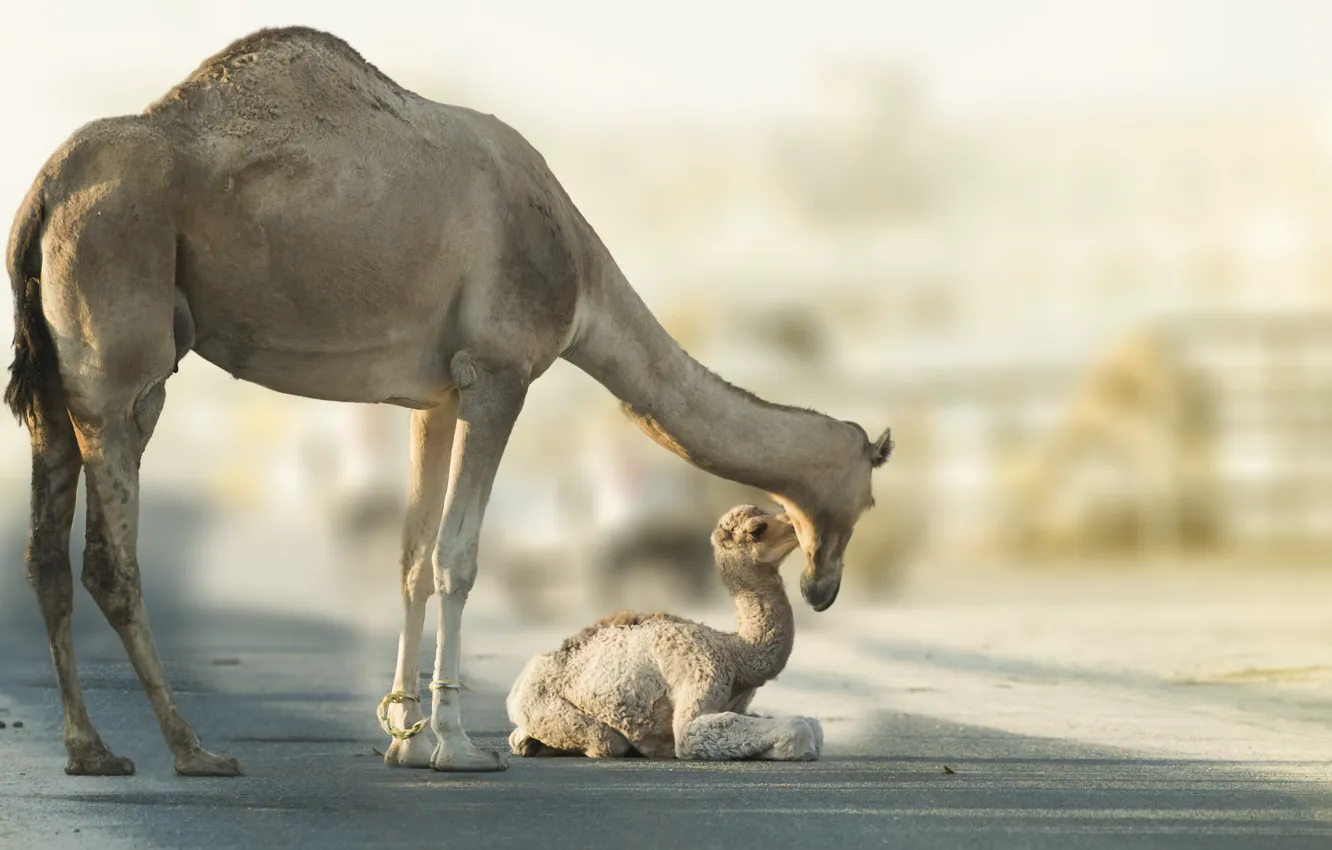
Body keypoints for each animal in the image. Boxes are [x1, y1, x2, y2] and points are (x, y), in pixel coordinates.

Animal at [507, 505, 822, 761]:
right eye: (758, 529)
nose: (799, 528)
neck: (736, 654)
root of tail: (519, 684)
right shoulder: (699, 674)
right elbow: (798, 728)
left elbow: (812, 725)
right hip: (544, 705)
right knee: (607, 742)